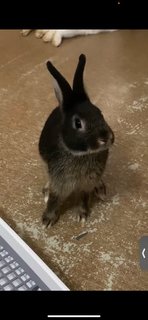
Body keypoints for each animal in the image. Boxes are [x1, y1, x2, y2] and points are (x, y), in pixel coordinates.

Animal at [38, 53, 114, 226]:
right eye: (78, 123)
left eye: (100, 112)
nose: (105, 138)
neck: (80, 154)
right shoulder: (59, 182)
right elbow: (54, 199)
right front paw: (47, 220)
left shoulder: (87, 183)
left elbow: (84, 198)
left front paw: (83, 215)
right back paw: (45, 191)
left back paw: (100, 189)